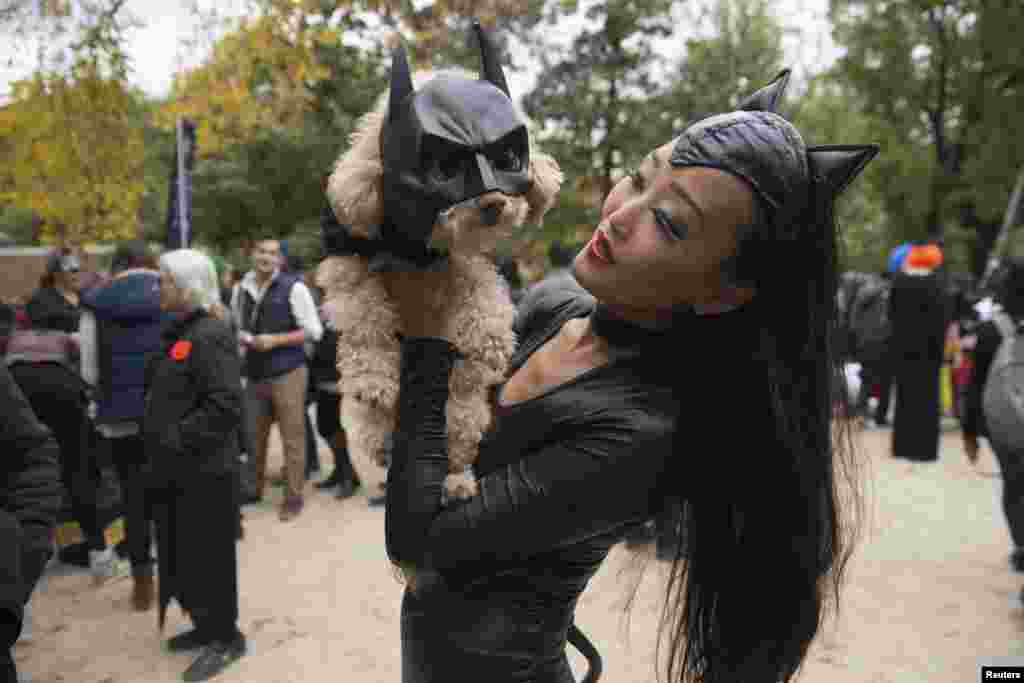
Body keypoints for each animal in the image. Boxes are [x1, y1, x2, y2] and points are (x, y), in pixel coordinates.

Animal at [317, 68, 565, 501]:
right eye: (446, 165)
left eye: (506, 159)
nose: (493, 204)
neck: (417, 250)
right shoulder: (348, 263)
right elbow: (365, 317)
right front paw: (372, 377)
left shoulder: (465, 261)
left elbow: (483, 293)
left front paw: (491, 338)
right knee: (381, 430)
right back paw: (388, 445)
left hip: (462, 407)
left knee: (455, 441)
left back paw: (457, 481)